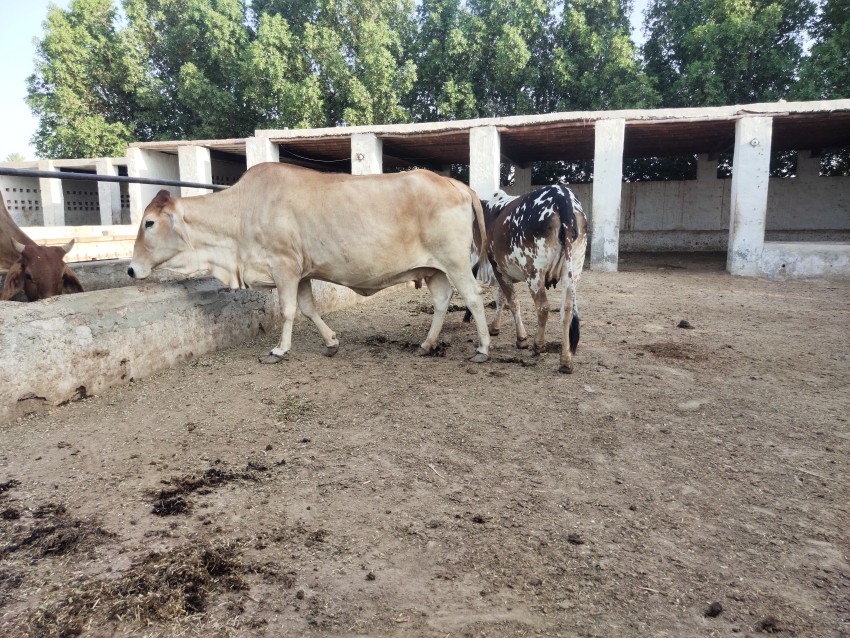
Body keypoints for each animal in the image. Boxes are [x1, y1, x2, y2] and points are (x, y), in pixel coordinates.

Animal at [127, 162, 492, 364]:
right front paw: (331, 343)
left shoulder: (284, 268)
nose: (131, 268)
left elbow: (288, 311)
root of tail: (457, 184)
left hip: (455, 262)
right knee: (442, 301)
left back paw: (483, 348)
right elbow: (308, 308)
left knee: (473, 298)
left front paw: (279, 350)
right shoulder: (301, 273)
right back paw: (426, 345)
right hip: (435, 269)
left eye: (149, 223)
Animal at [465, 185, 587, 373]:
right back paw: (566, 361)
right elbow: (501, 299)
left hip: (534, 272)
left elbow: (512, 302)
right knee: (566, 310)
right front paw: (495, 327)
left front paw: (522, 339)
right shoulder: (503, 271)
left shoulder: (498, 268)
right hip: (573, 269)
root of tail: (562, 196)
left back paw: (539, 344)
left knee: (543, 307)